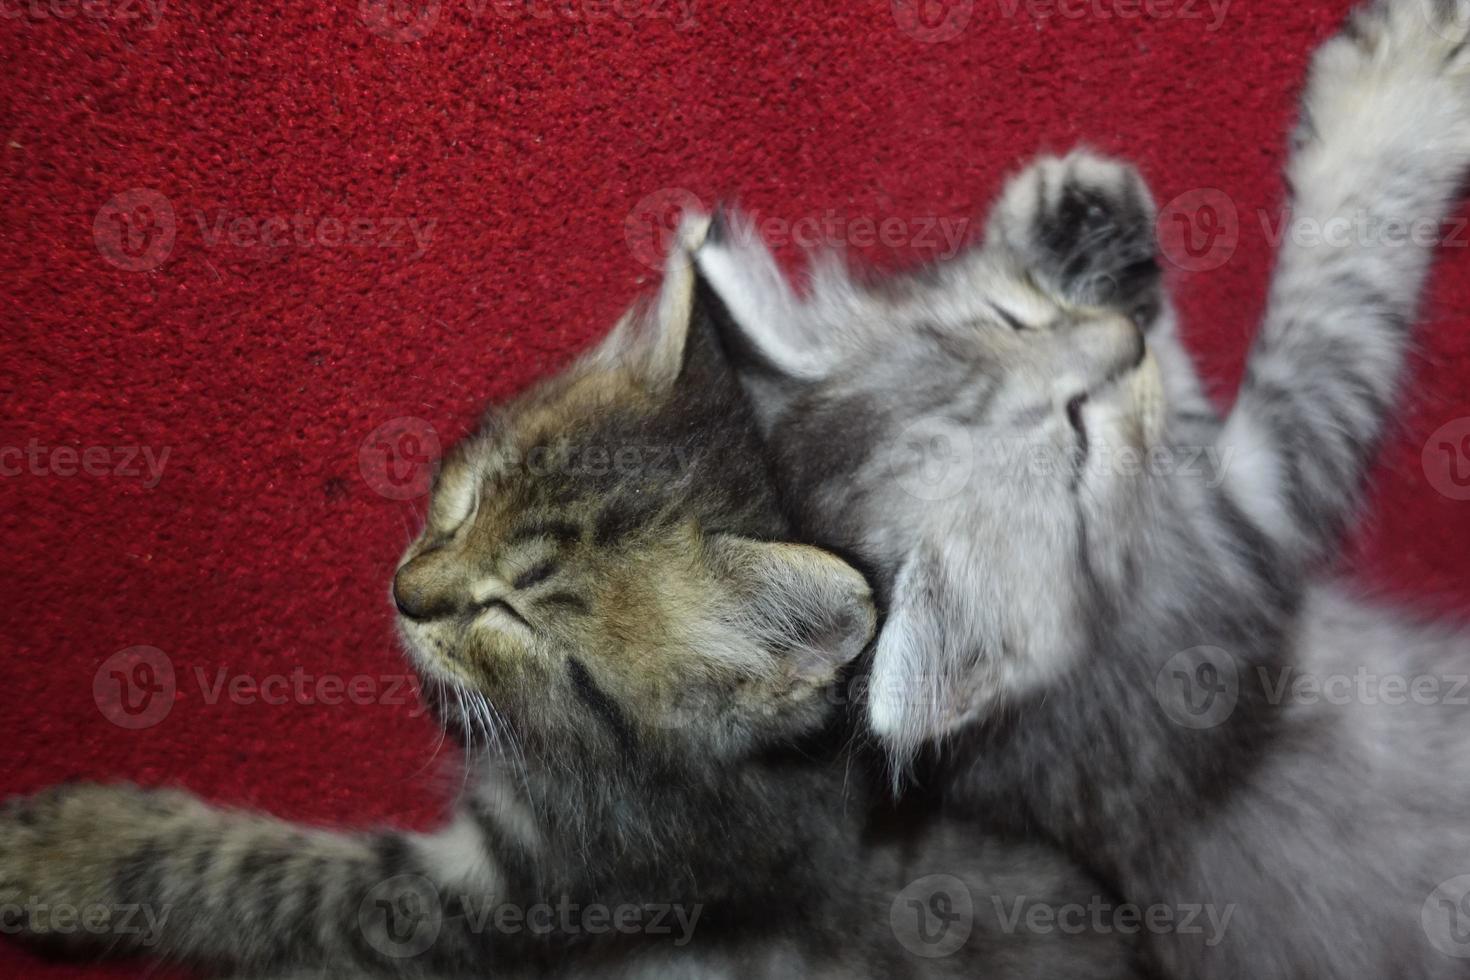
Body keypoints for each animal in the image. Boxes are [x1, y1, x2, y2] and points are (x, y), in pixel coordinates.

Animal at [693, 3, 1470, 975]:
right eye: (1077, 444)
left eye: (1013, 320)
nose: (1118, 349)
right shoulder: (1257, 529)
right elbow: (1332, 304)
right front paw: (1399, 94)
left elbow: (1179, 382)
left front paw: (1079, 226)